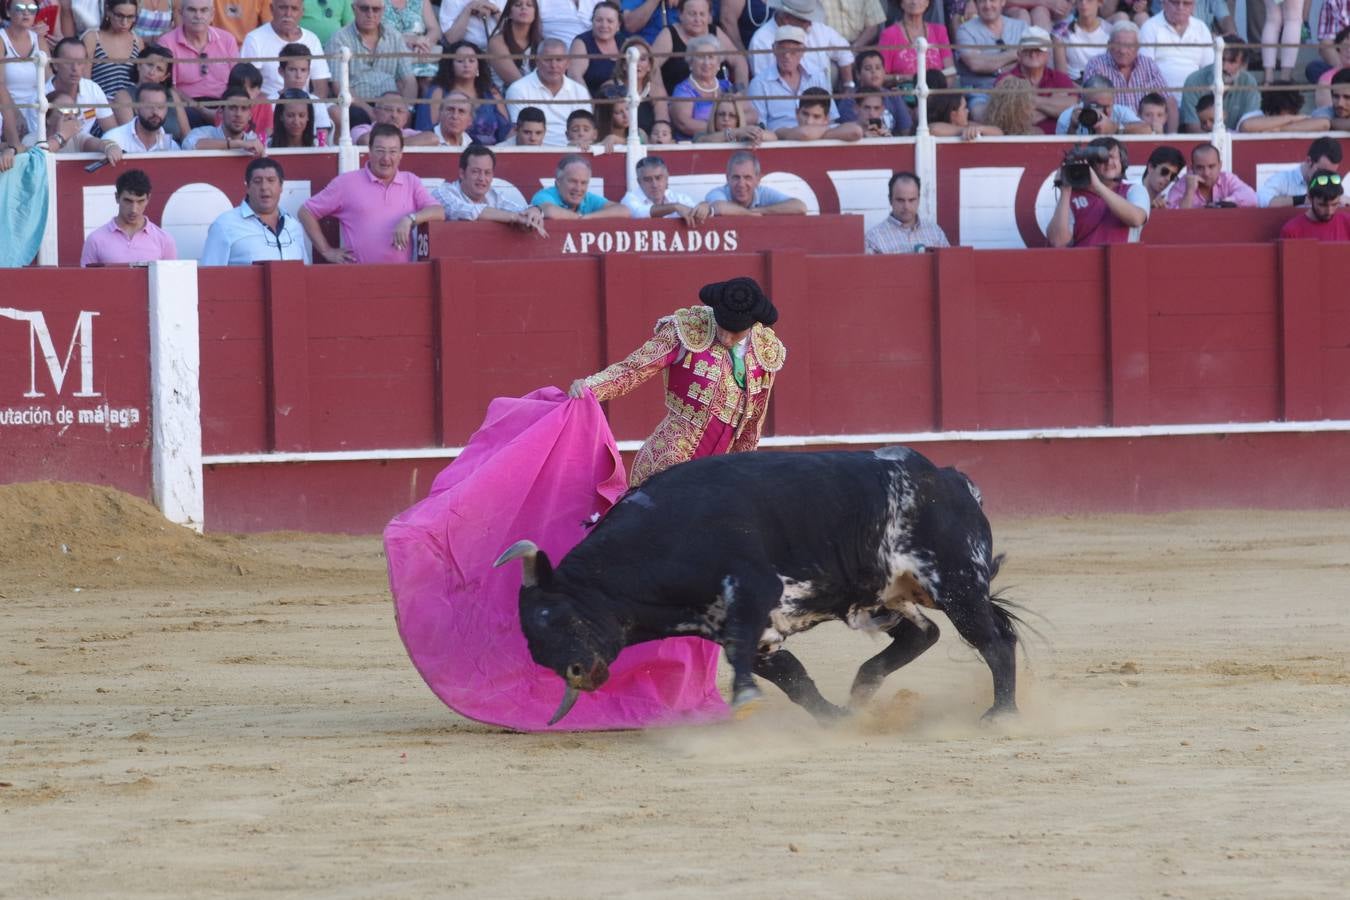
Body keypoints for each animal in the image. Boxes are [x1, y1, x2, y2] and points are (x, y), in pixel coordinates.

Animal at [496, 447, 1020, 728]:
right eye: (535, 646)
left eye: (557, 615)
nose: (578, 673)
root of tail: (950, 478)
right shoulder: (751, 631)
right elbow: (795, 681)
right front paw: (835, 720)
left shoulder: (753, 591)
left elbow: (745, 657)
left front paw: (745, 700)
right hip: (887, 594)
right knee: (924, 634)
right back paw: (861, 692)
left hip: (955, 582)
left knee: (995, 641)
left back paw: (1001, 713)